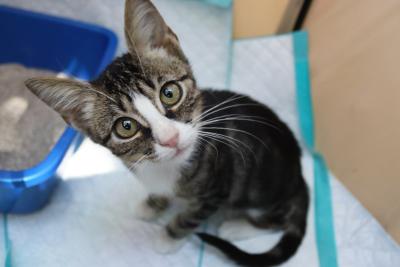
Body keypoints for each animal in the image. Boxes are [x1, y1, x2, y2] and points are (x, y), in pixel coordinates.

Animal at [25, 0, 310, 266]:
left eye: (169, 93)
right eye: (125, 127)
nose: (170, 138)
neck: (165, 167)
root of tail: (300, 176)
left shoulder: (215, 190)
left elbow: (189, 218)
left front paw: (168, 238)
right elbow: (160, 194)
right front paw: (151, 205)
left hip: (262, 190)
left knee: (277, 218)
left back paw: (237, 226)